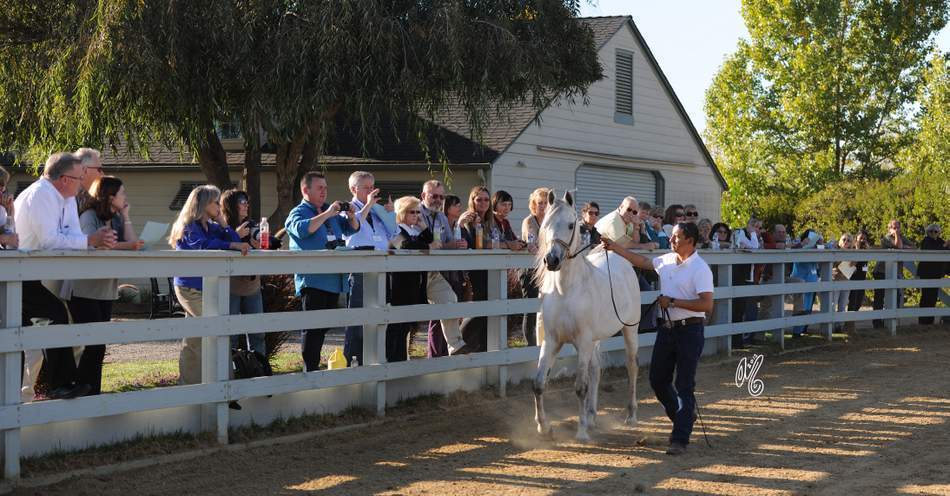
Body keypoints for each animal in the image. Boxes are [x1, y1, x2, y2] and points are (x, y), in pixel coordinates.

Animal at [532, 190, 641, 442]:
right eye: (545, 223)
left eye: (571, 225)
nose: (551, 260)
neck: (565, 291)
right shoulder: (552, 341)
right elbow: (539, 384)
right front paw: (544, 427)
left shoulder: (582, 342)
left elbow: (580, 387)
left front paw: (581, 432)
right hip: (595, 341)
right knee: (596, 370)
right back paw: (592, 417)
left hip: (630, 330)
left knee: (632, 366)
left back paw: (630, 415)